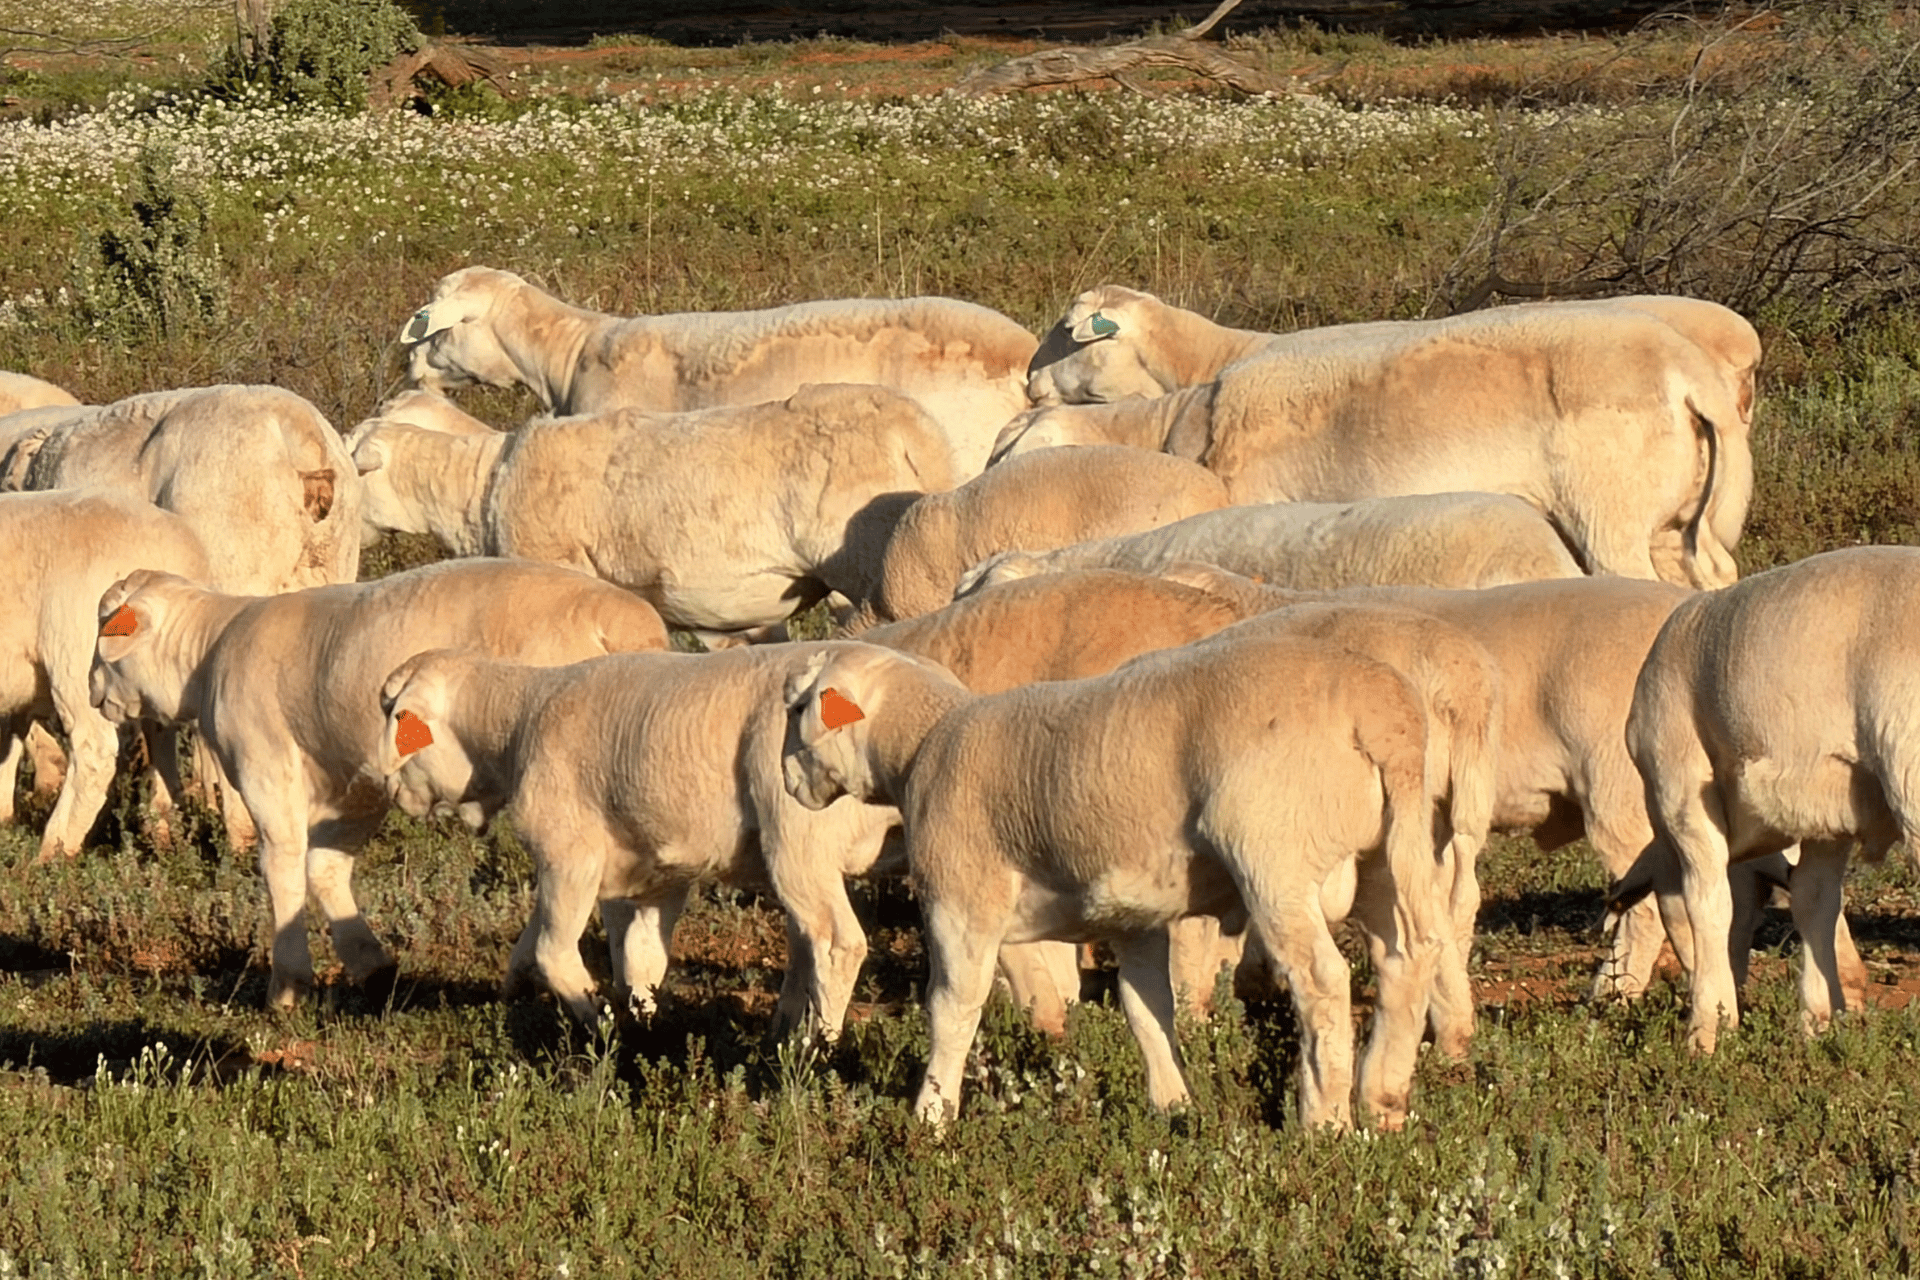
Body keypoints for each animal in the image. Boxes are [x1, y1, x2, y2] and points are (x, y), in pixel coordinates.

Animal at [87, 559, 671, 1008]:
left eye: (106, 627)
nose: (92, 689)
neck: (207, 654)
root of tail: (625, 622)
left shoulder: (265, 765)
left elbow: (282, 867)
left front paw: (287, 987)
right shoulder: (355, 786)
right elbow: (324, 868)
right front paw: (370, 964)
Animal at [373, 643, 899, 1036]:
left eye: (399, 721)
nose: (388, 787)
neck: (518, 723)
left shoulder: (569, 853)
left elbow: (553, 952)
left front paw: (603, 1026)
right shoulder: (654, 874)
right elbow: (636, 961)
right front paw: (640, 1026)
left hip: (799, 836)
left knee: (837, 943)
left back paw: (815, 1048)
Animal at [782, 635, 1447, 1131]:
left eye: (796, 710)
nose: (787, 780)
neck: (921, 746)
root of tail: (1379, 709)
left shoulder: (961, 895)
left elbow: (952, 1006)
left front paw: (931, 1117)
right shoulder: (1132, 915)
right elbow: (1146, 1006)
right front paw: (1174, 1107)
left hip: (1273, 852)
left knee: (1322, 981)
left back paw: (1323, 1122)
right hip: (1388, 851)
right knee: (1408, 958)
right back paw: (1383, 1104)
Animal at [1624, 545, 1920, 1053]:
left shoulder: (1680, 788)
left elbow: (1709, 903)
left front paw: (1708, 1028)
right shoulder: (1829, 807)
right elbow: (1815, 901)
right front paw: (1815, 1022)